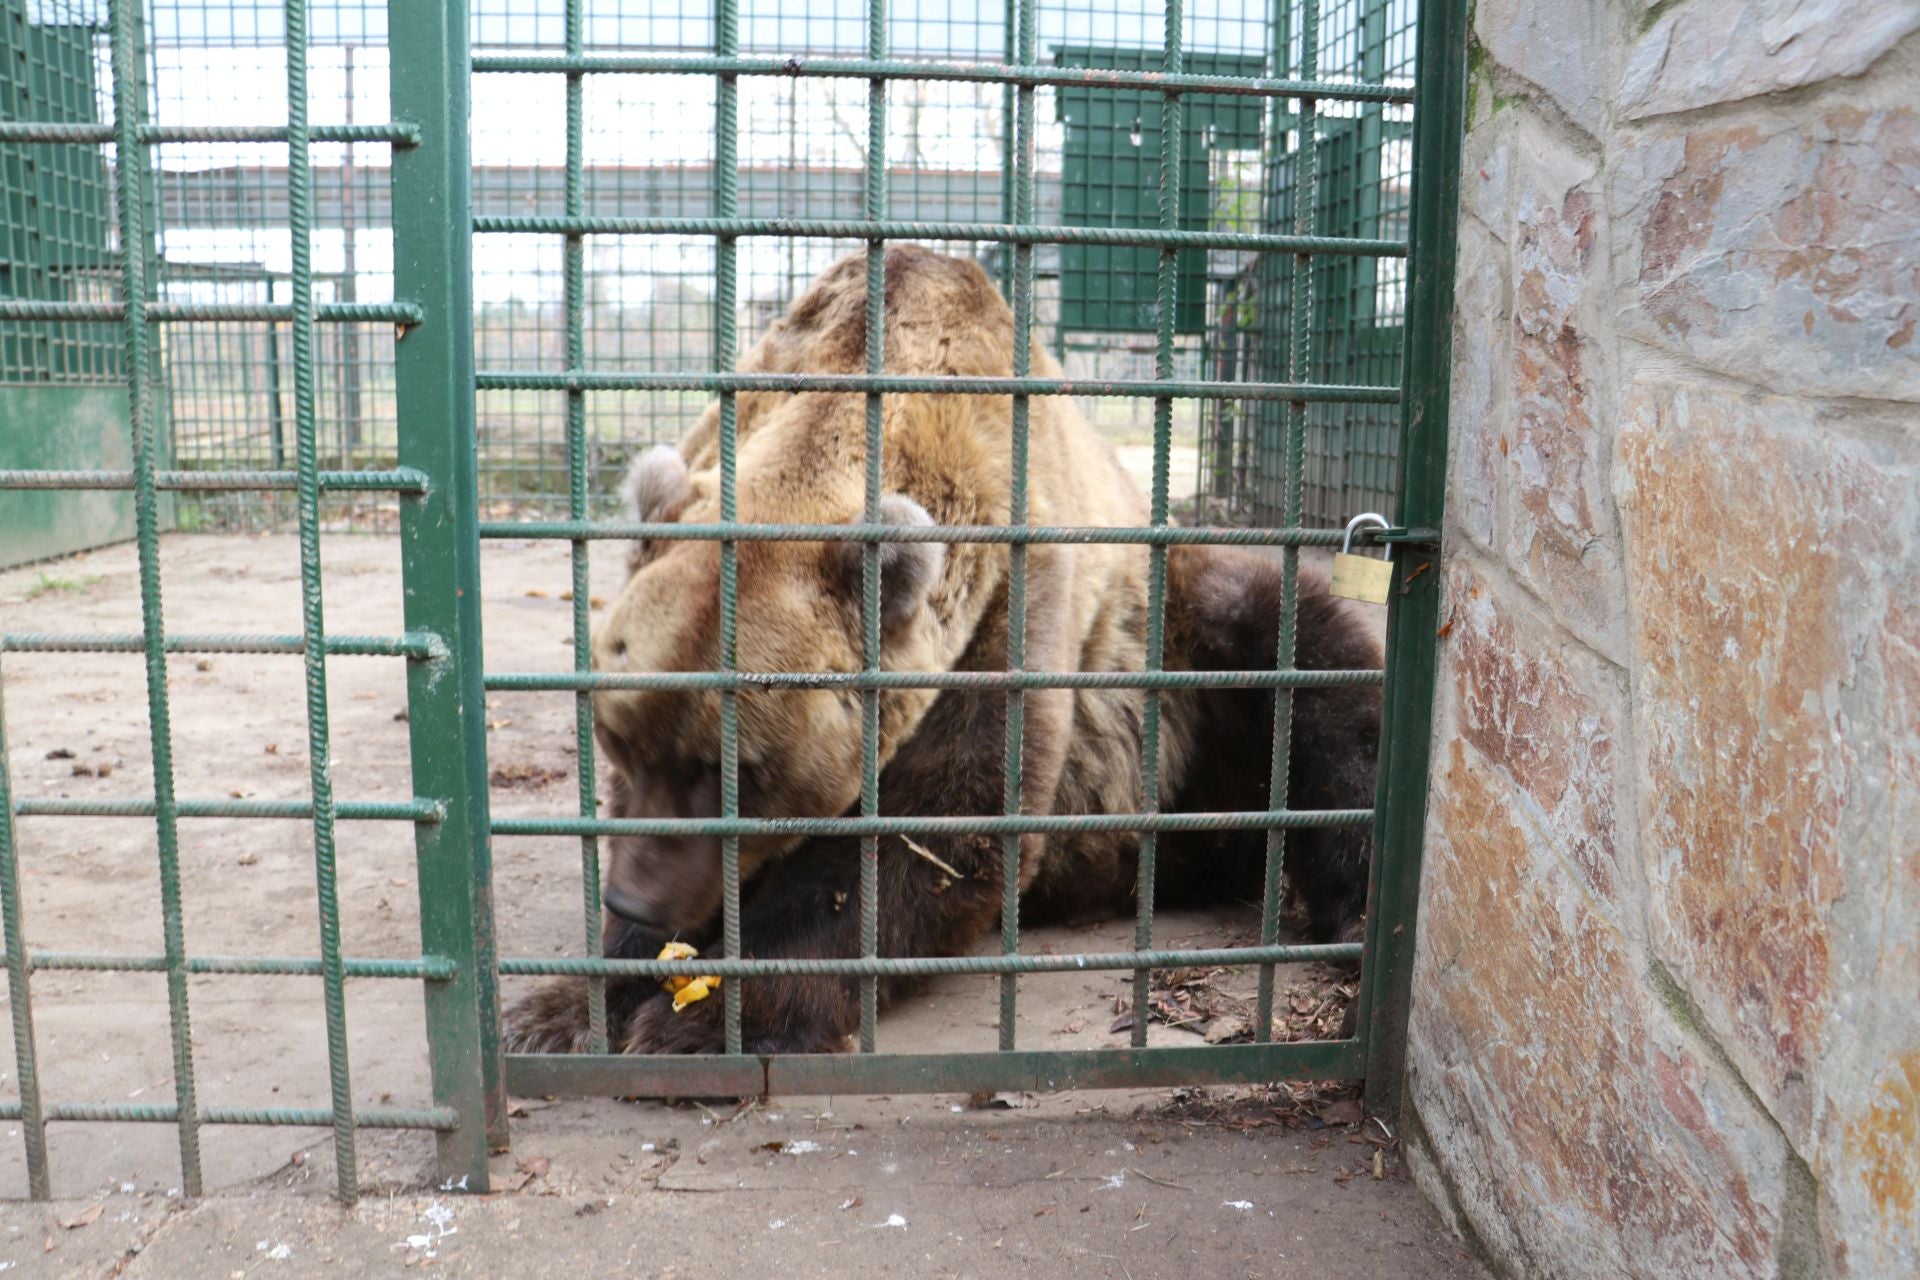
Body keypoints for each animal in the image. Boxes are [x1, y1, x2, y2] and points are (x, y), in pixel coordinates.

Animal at [503, 245, 1390, 1059]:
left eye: (741, 773)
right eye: (621, 741)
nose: (634, 903)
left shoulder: (1009, 608)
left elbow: (936, 827)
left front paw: (708, 1020)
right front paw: (565, 1007)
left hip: (1189, 662)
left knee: (1317, 675)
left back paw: (1353, 912)